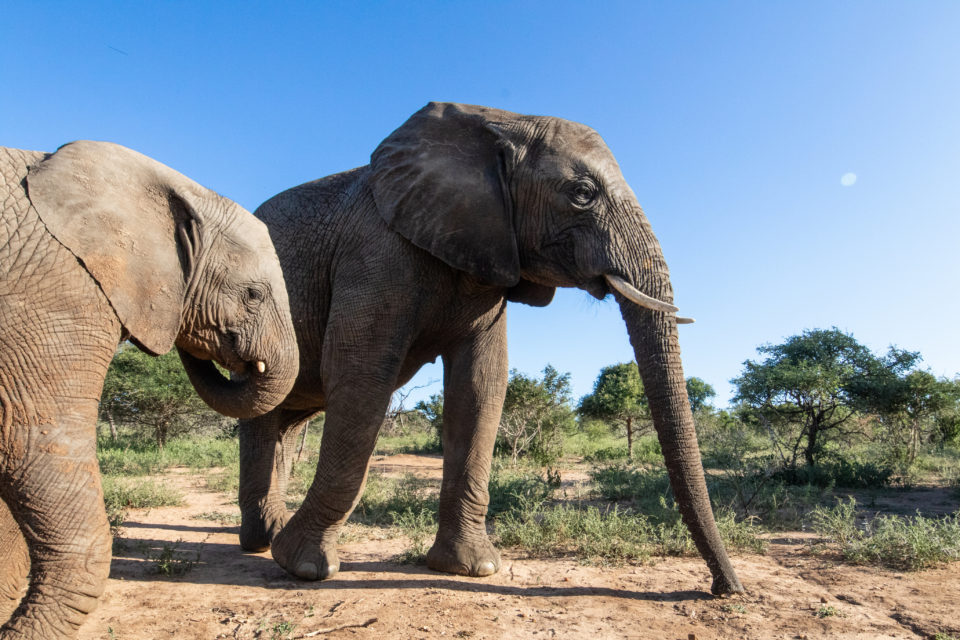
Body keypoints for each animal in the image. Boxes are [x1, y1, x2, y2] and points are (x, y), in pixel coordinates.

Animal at [237, 102, 744, 596]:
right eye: (582, 193)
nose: (725, 590)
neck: (500, 122)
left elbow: (480, 386)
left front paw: (471, 568)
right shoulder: (375, 251)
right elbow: (362, 375)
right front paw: (304, 568)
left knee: (286, 419)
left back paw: (264, 536)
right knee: (267, 414)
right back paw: (265, 542)